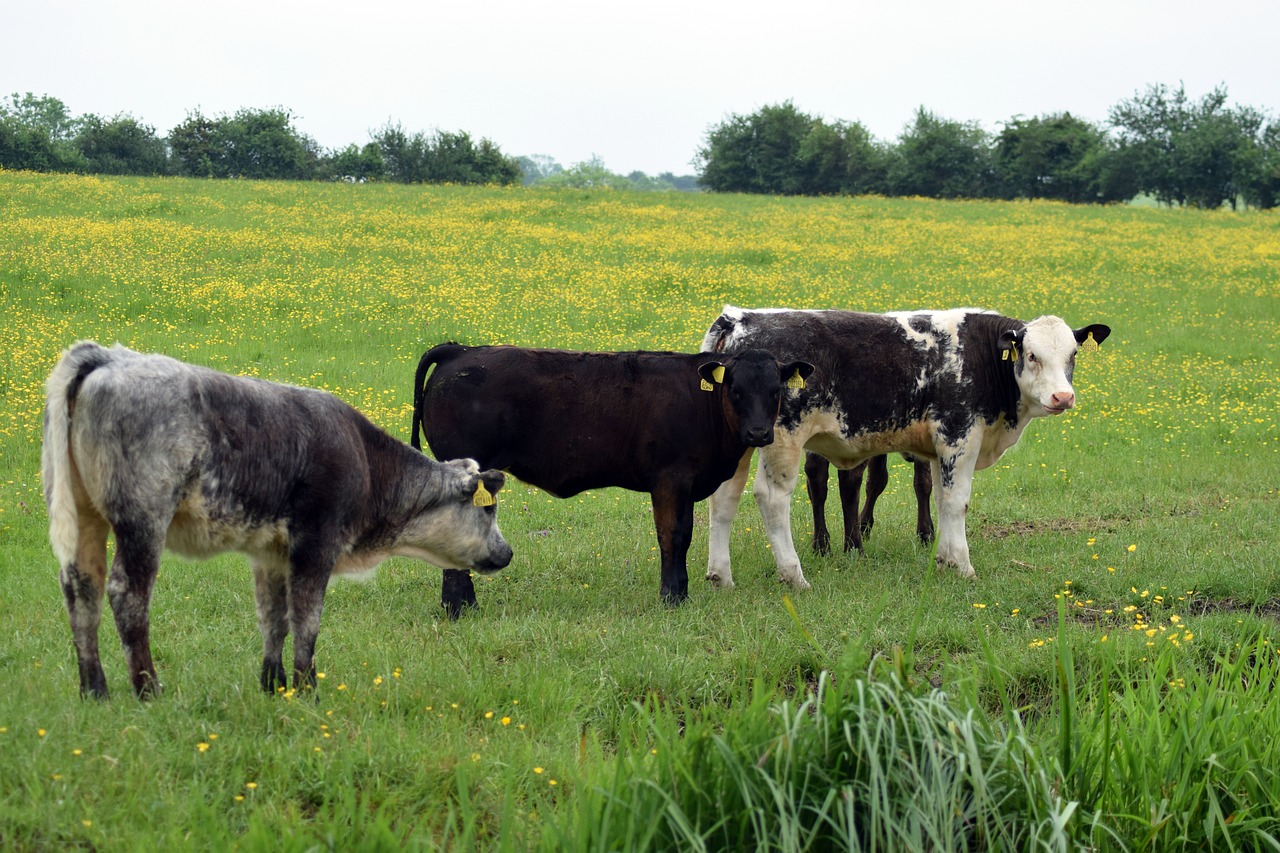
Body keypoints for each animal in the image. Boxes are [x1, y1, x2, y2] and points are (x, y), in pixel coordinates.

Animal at [45, 338, 514, 696]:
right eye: (488, 510)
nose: (506, 552)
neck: (365, 459)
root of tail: (108, 358)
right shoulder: (316, 543)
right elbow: (306, 620)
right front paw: (308, 690)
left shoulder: (270, 551)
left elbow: (274, 619)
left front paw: (274, 686)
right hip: (143, 520)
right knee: (127, 595)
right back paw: (147, 689)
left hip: (83, 516)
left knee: (81, 587)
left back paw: (95, 690)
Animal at [409, 338, 808, 612]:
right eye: (736, 390)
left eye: (775, 390)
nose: (759, 433)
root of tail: (460, 350)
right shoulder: (670, 479)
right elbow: (674, 535)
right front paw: (672, 596)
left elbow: (683, 537)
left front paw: (680, 593)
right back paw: (460, 608)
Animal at [701, 306, 1111, 591]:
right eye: (1031, 355)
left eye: (1073, 355)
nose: (1063, 397)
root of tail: (741, 317)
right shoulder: (958, 435)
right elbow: (956, 502)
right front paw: (963, 566)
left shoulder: (938, 448)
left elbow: (938, 498)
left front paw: (943, 558)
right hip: (782, 437)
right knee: (771, 498)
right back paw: (794, 575)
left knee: (724, 499)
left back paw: (721, 576)